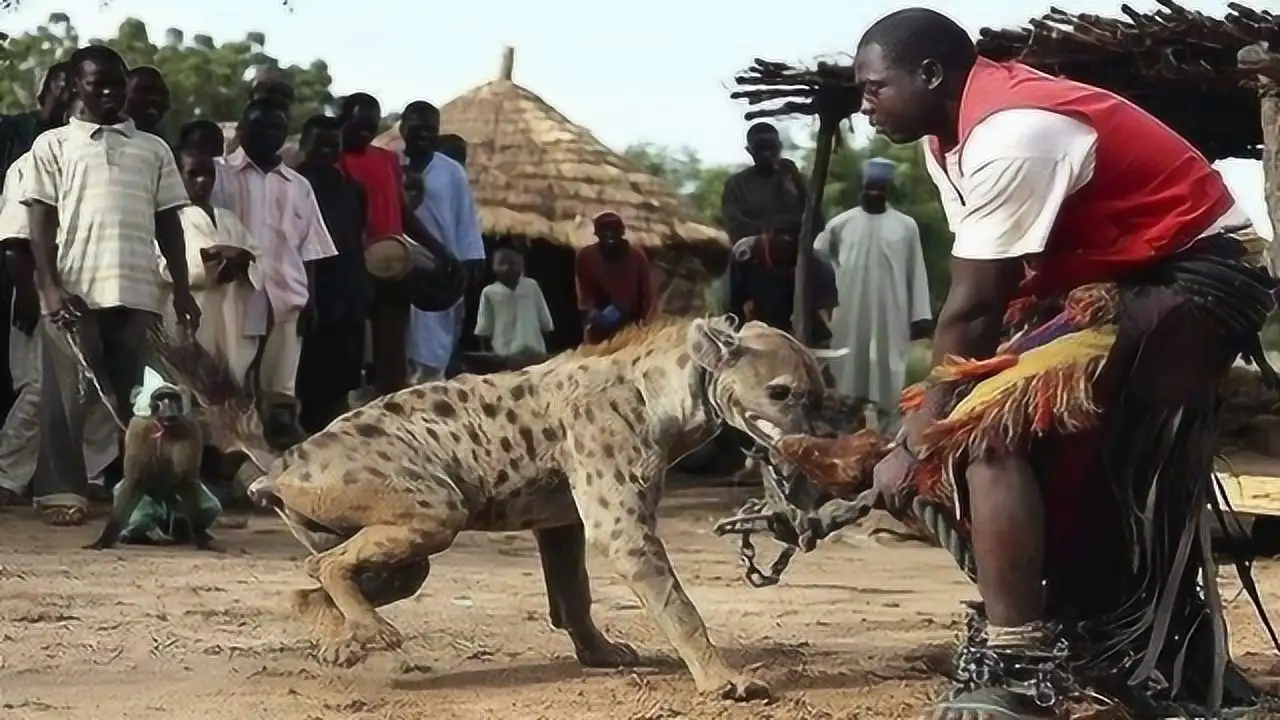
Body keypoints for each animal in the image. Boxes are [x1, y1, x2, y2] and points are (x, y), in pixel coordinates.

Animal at [84, 381, 217, 548]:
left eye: (172, 397)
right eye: (161, 398)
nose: (168, 407)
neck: (162, 429)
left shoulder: (190, 427)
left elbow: (186, 480)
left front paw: (201, 535)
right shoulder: (139, 428)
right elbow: (133, 480)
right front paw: (106, 537)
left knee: (208, 506)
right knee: (141, 514)